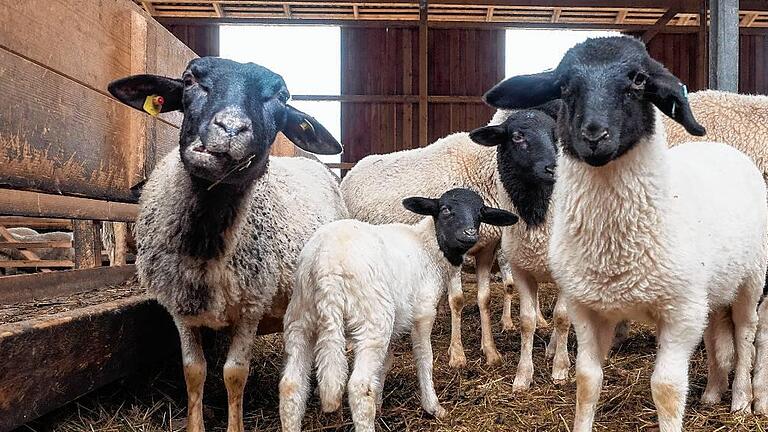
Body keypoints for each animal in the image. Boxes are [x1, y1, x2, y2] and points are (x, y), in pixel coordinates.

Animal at [108, 57, 348, 432]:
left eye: (281, 96)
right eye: (189, 80)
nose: (231, 129)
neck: (206, 243)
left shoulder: (251, 306)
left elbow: (235, 374)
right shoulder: (180, 307)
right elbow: (194, 372)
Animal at [276, 188, 516, 432]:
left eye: (480, 212)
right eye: (445, 209)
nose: (469, 235)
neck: (429, 247)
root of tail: (327, 268)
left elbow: (385, 363)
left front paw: (379, 402)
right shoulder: (423, 312)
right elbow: (424, 357)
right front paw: (433, 407)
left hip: (301, 320)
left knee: (291, 385)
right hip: (372, 320)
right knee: (358, 387)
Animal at [486, 35, 768, 430]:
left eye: (638, 80)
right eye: (564, 86)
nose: (594, 134)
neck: (616, 250)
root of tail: (719, 147)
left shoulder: (681, 314)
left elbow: (666, 388)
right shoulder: (587, 309)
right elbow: (587, 381)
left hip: (751, 280)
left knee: (745, 333)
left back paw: (741, 399)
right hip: (713, 289)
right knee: (719, 328)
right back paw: (714, 392)